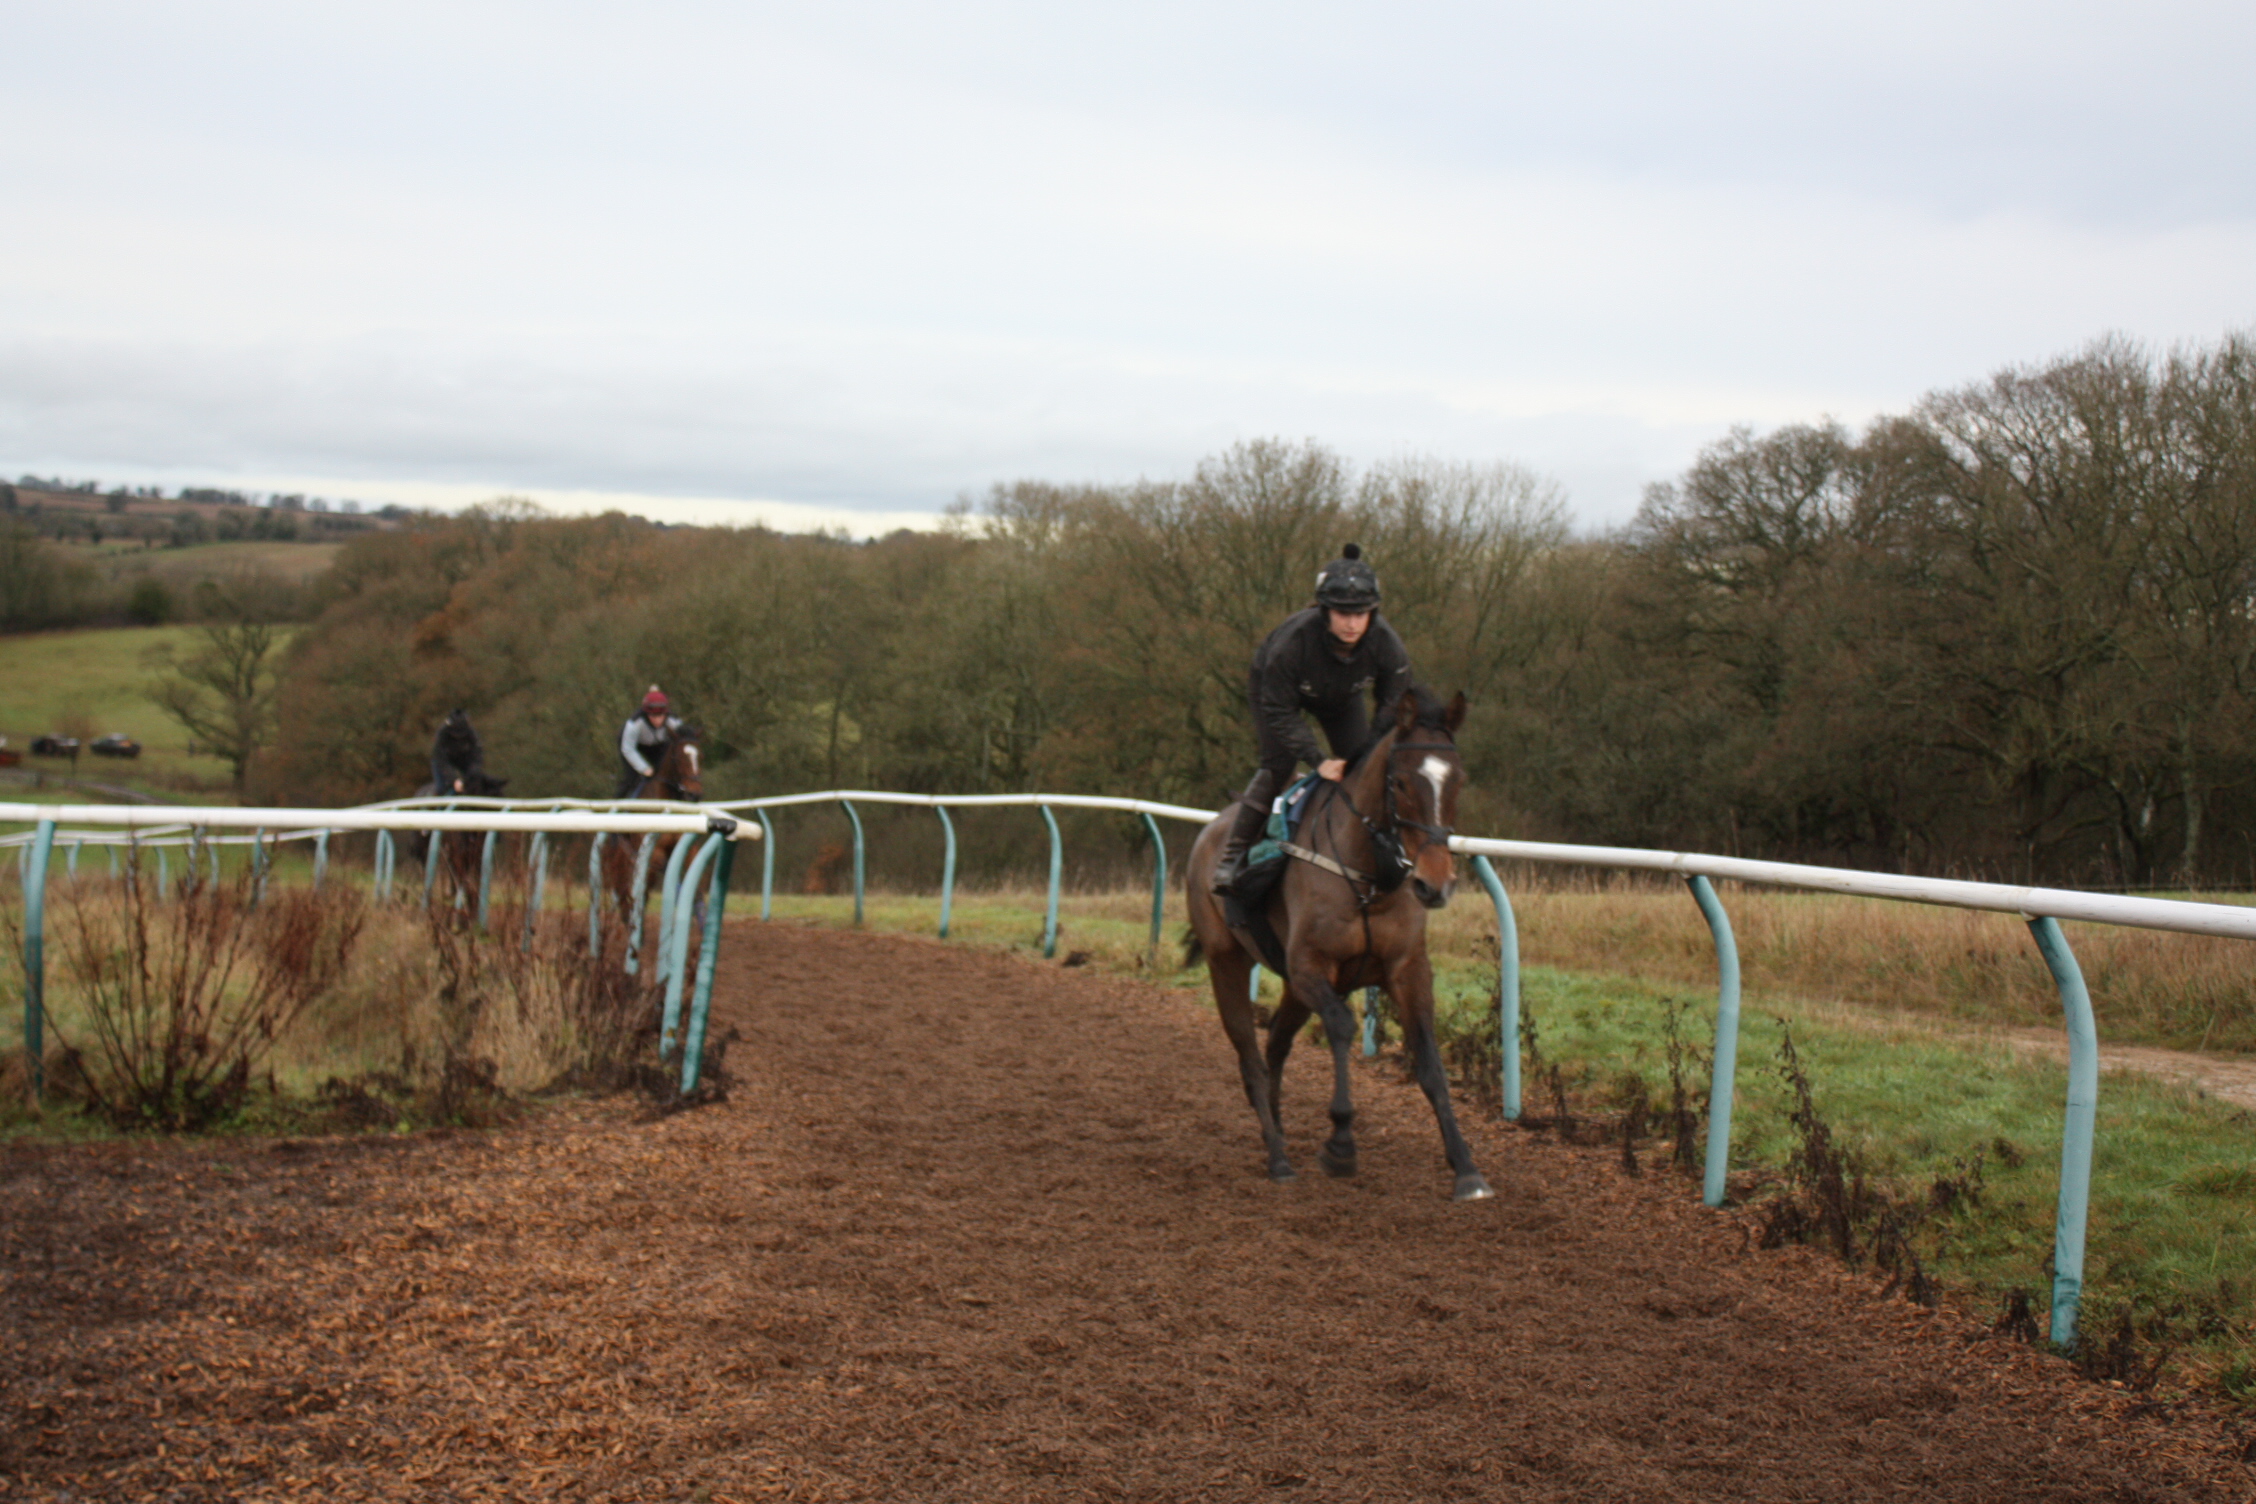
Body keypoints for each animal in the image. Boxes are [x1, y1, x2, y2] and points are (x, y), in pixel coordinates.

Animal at [1182, 689, 1497, 1208]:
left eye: (1459, 780)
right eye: (1400, 781)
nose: (1435, 884)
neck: (1371, 879)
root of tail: (1211, 830)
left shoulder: (1408, 969)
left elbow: (1429, 1061)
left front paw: (1467, 1168)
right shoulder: (1311, 967)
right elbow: (1343, 1026)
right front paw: (1341, 1143)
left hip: (1290, 986)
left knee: (1275, 1045)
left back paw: (1277, 1130)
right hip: (1225, 959)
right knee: (1250, 1055)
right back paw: (1278, 1157)